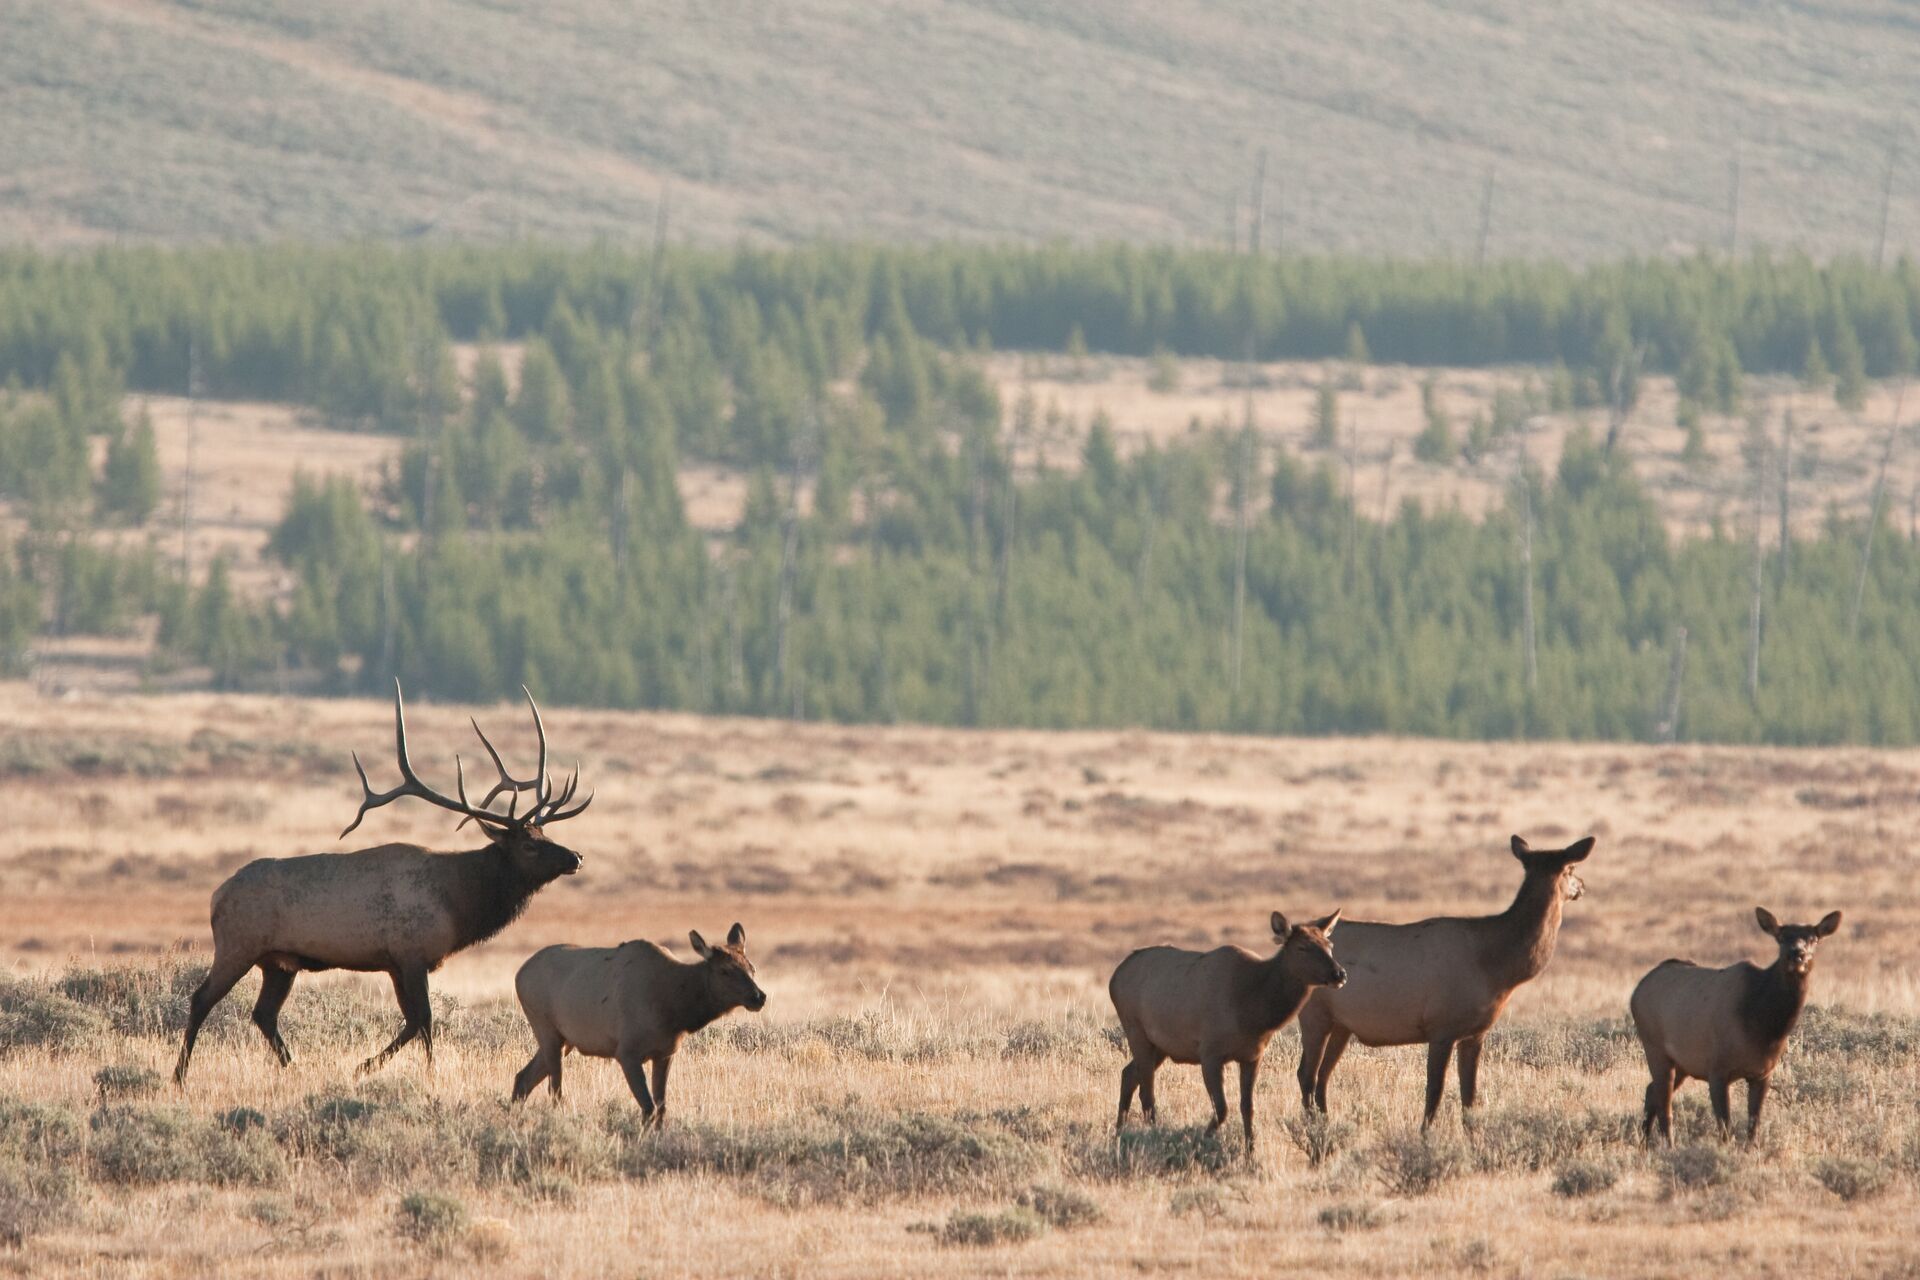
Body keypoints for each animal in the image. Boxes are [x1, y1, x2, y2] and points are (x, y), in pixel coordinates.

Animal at [173, 680, 592, 1084]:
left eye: (545, 834)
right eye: (528, 845)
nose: (575, 857)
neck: (459, 903)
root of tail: (216, 896)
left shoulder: (394, 963)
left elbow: (413, 1021)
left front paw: (365, 1067)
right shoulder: (411, 953)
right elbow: (423, 1020)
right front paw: (410, 1072)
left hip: (279, 963)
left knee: (263, 1013)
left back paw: (293, 1067)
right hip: (238, 945)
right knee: (201, 999)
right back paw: (180, 1074)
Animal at [510, 923, 766, 1124]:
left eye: (752, 968)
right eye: (725, 971)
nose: (758, 997)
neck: (676, 1011)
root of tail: (519, 974)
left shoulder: (665, 1053)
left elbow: (661, 1108)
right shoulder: (627, 1052)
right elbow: (648, 1108)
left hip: (565, 1040)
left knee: (523, 1078)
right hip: (546, 1029)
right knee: (554, 1090)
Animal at [1109, 909, 1344, 1153]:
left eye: (1329, 944)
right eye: (1302, 947)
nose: (1339, 973)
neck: (1256, 1013)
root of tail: (1114, 978)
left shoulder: (1252, 1056)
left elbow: (1248, 1107)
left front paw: (1251, 1154)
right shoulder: (1210, 1053)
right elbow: (1222, 1109)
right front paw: (1198, 1142)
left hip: (1160, 1046)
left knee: (1128, 1075)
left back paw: (1119, 1134)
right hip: (1136, 1030)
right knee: (1147, 1094)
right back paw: (1151, 1137)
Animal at [1295, 834, 1594, 1127]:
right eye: (1571, 868)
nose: (1582, 886)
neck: (1497, 968)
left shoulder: (1474, 1033)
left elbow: (1469, 1097)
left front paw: (1473, 1137)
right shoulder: (1441, 1027)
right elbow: (1435, 1092)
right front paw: (1424, 1135)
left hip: (1341, 1025)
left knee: (1322, 1075)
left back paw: (1324, 1124)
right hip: (1314, 1014)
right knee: (1307, 1073)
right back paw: (1313, 1129)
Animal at [1630, 907, 1842, 1144]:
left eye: (1813, 939)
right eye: (1780, 937)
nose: (1797, 954)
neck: (1764, 1029)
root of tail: (1635, 993)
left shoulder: (1763, 1073)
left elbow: (1753, 1124)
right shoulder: (1717, 1069)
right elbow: (1725, 1127)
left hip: (1682, 1063)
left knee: (1651, 1092)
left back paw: (1644, 1143)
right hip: (1655, 1048)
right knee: (1664, 1104)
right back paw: (1667, 1145)